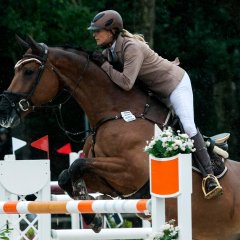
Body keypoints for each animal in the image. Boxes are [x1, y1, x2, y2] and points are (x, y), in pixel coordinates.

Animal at [0, 36, 240, 240]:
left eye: (28, 71)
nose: (4, 112)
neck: (117, 113)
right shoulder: (107, 181)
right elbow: (66, 176)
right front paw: (95, 214)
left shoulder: (129, 172)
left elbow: (77, 165)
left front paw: (94, 215)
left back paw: (212, 182)